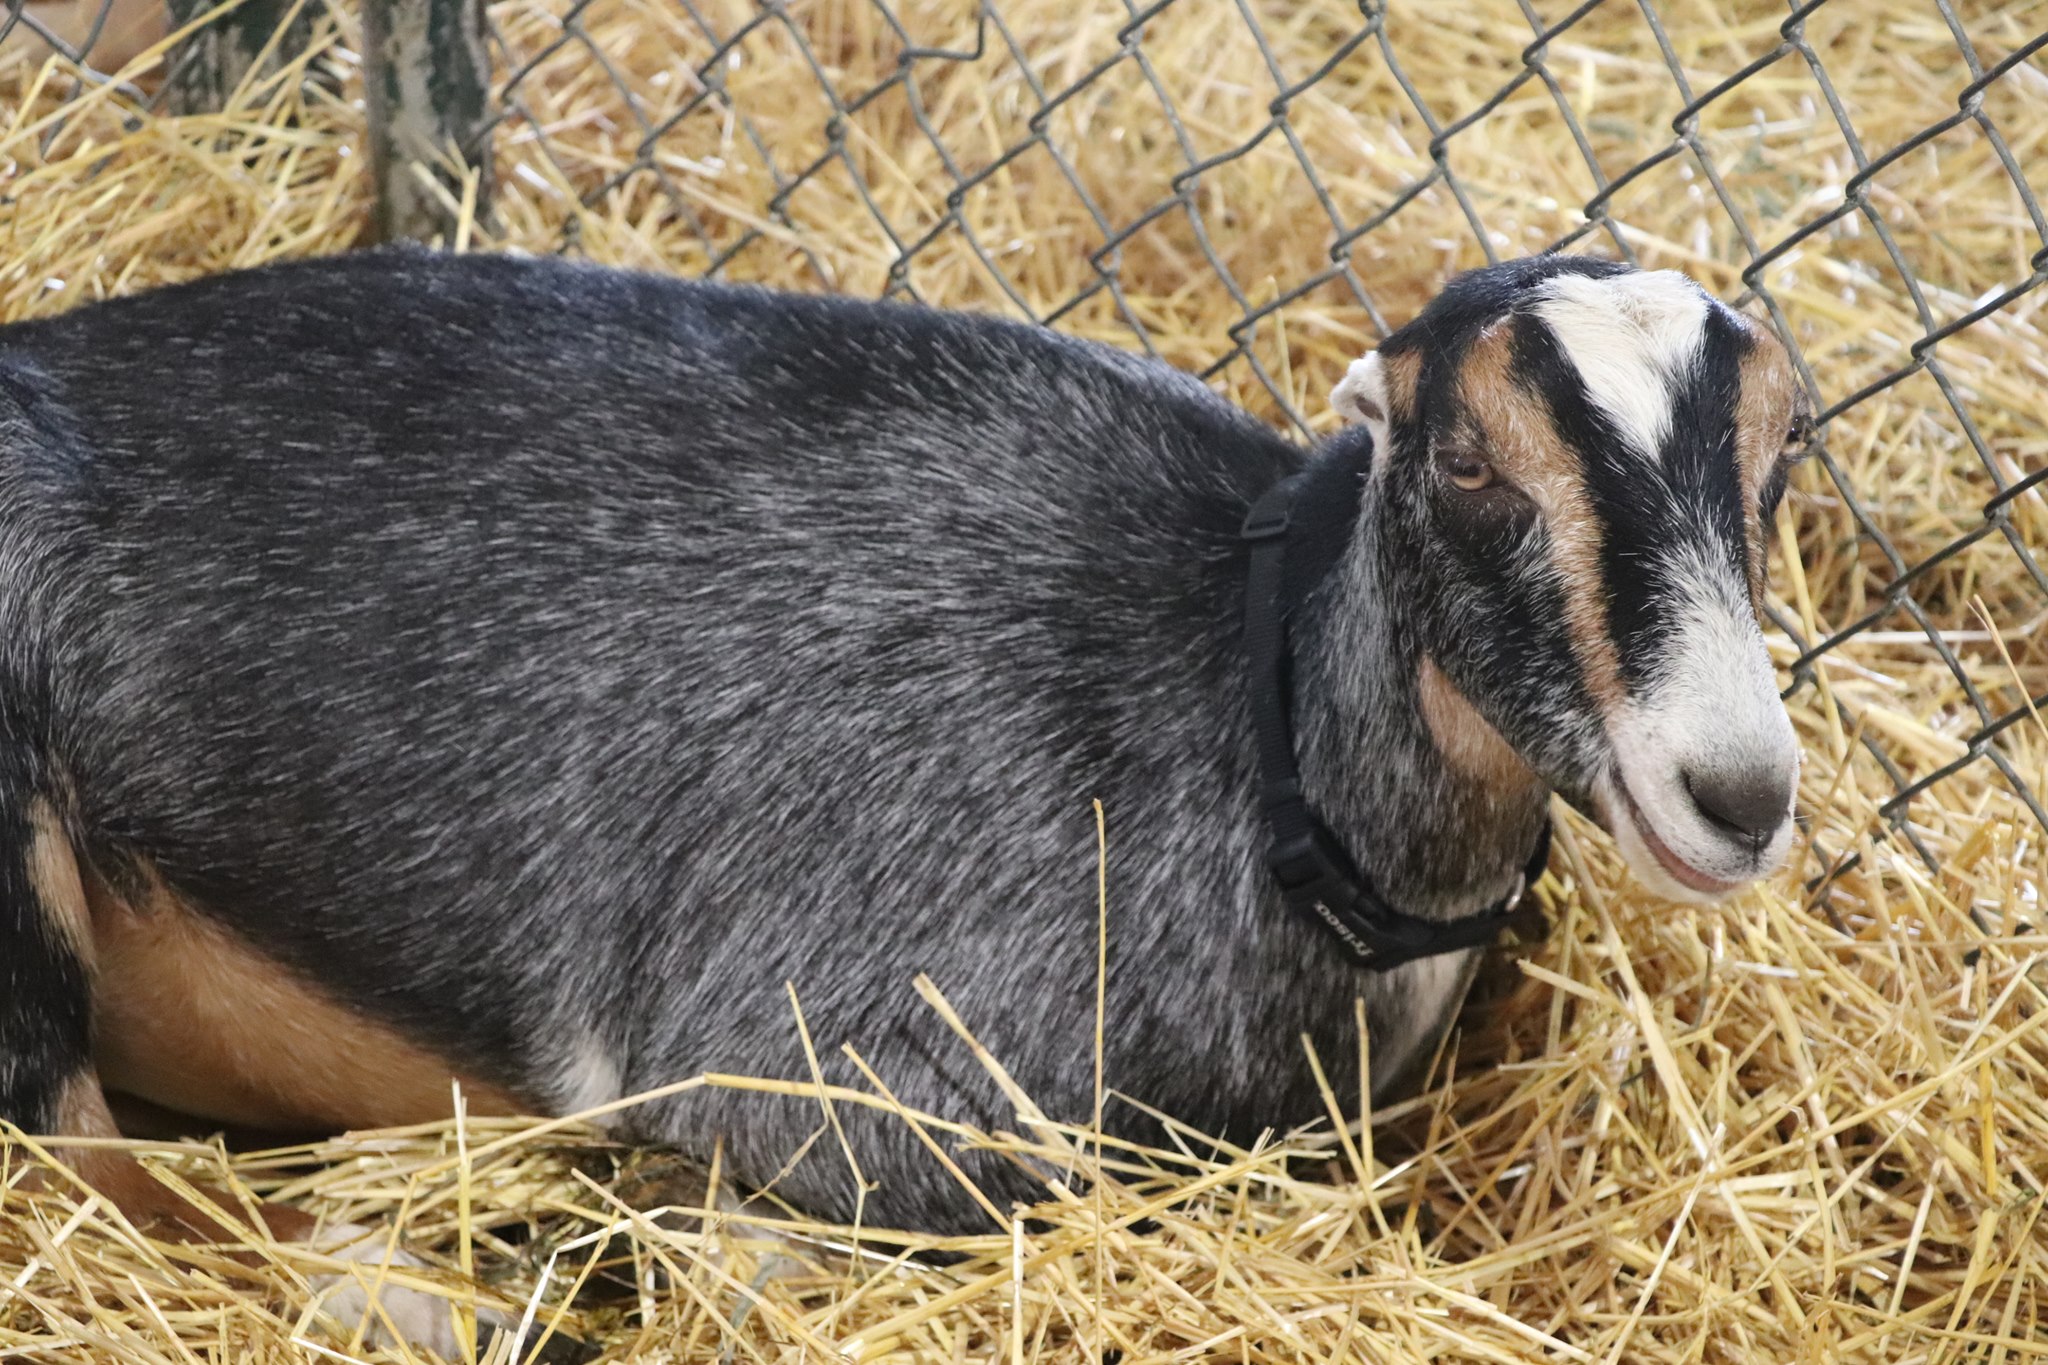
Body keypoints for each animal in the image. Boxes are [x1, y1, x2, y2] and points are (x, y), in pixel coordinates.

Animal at [0, 248, 1802, 1358]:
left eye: (1778, 456)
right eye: (1468, 462)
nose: (1735, 789)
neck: (1248, 716)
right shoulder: (826, 1058)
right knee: (86, 1187)